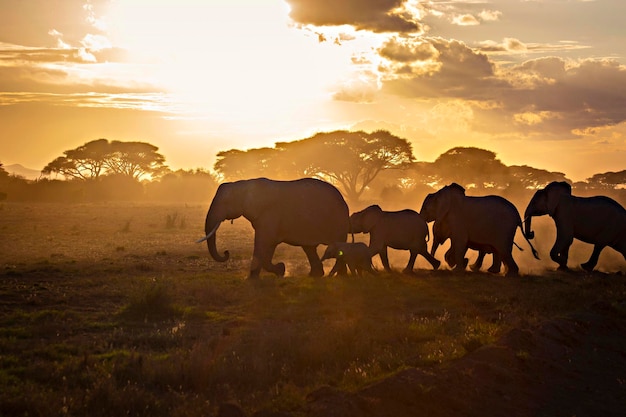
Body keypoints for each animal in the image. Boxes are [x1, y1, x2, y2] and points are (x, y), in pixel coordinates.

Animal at [196, 177, 348, 278]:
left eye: (225, 202)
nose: (226, 252)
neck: (243, 184)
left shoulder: (269, 214)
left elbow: (263, 242)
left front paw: (256, 279)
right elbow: (269, 245)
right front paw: (280, 270)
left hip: (338, 220)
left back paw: (340, 277)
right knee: (309, 248)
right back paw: (316, 275)